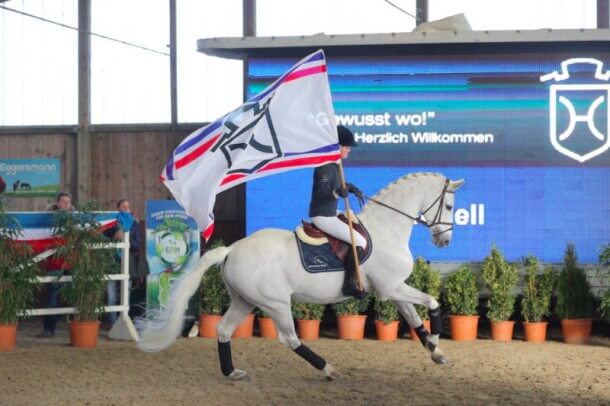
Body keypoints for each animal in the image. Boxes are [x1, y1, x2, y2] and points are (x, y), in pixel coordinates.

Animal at [138, 171, 460, 380]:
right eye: (448, 205)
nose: (444, 241)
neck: (386, 229)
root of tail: (232, 249)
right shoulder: (390, 288)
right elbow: (431, 302)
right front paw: (436, 337)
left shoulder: (393, 288)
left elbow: (414, 317)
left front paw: (435, 351)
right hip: (276, 303)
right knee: (289, 338)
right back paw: (328, 369)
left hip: (244, 300)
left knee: (224, 330)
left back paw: (232, 372)